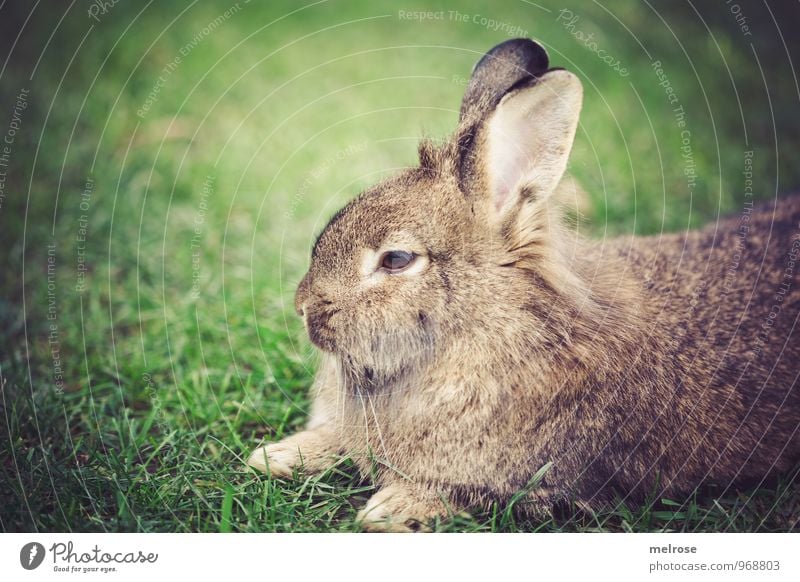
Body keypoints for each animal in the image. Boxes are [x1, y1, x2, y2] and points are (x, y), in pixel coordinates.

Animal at [247, 38, 800, 532]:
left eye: (397, 259)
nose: (303, 308)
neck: (486, 322)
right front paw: (277, 455)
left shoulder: (534, 480)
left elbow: (461, 493)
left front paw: (391, 511)